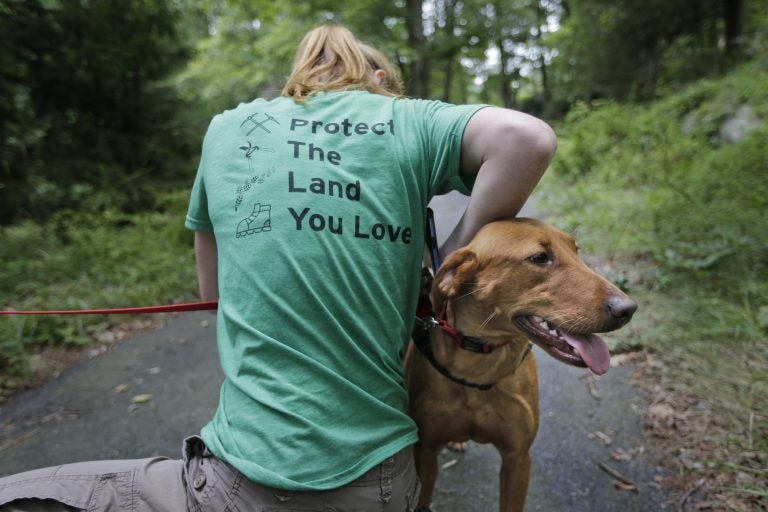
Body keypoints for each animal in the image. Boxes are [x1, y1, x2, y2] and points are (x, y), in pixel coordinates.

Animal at [408, 217, 636, 512]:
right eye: (540, 258)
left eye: (577, 250)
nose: (628, 309)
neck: (478, 367)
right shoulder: (424, 453)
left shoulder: (517, 459)